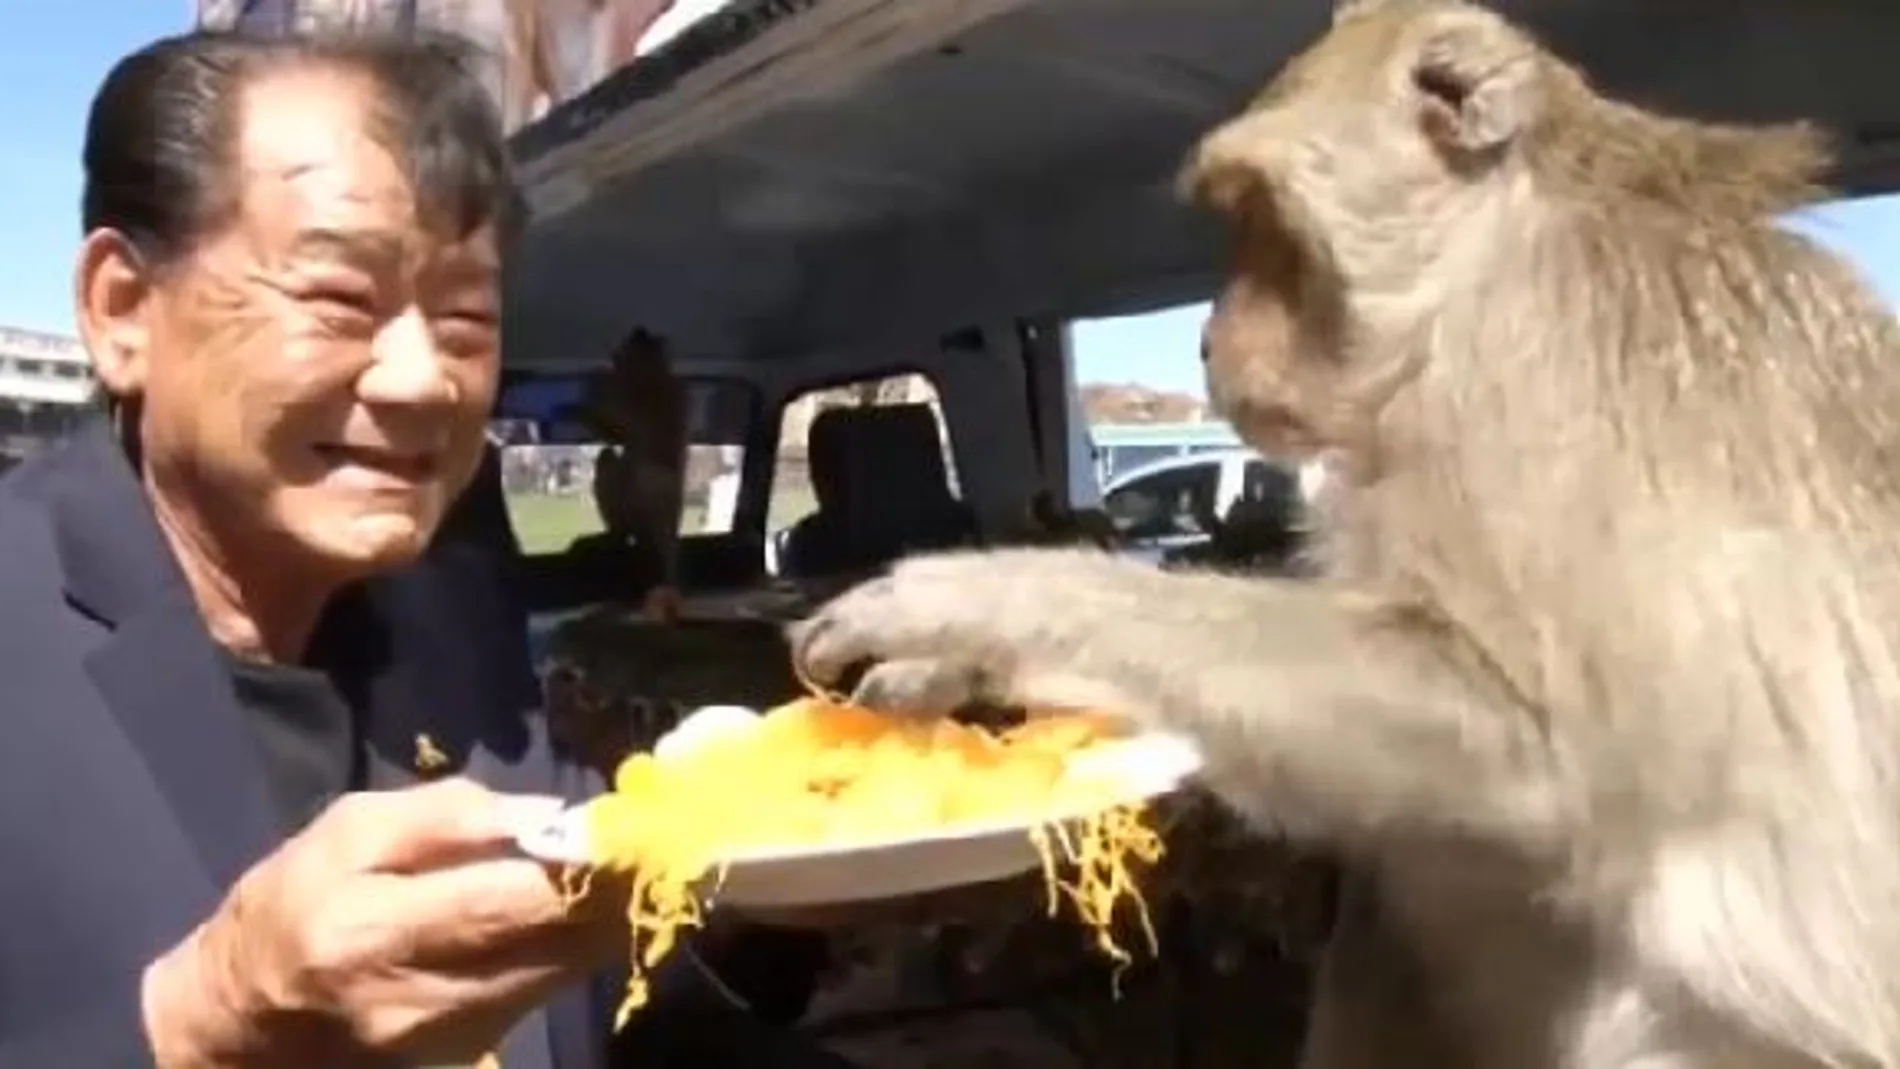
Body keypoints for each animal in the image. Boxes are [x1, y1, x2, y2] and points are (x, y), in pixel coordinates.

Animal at [782, 2, 1900, 1069]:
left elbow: (1522, 735)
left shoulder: (1531, 398)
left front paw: (980, 600)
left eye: (1259, 218)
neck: (1494, 258)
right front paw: (965, 667)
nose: (1205, 336)